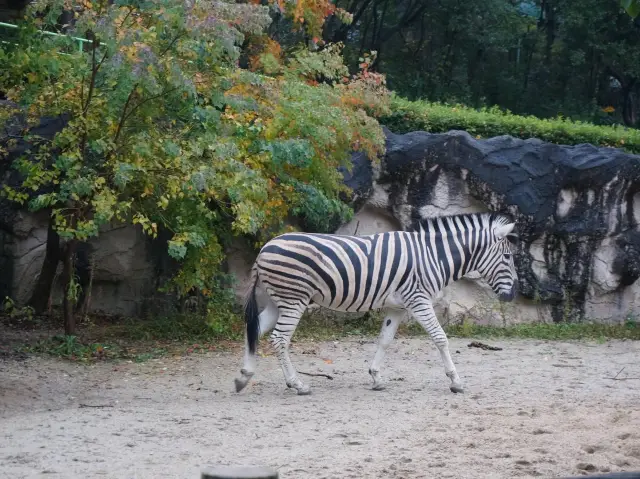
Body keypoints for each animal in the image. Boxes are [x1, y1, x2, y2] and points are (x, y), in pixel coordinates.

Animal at [232, 212, 516, 396]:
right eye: (508, 256)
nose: (512, 296)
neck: (433, 256)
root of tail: (264, 249)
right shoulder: (418, 299)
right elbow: (441, 338)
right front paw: (456, 381)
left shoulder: (397, 306)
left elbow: (385, 340)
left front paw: (376, 377)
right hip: (294, 299)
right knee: (279, 339)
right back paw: (297, 384)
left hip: (278, 300)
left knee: (253, 330)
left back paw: (243, 377)